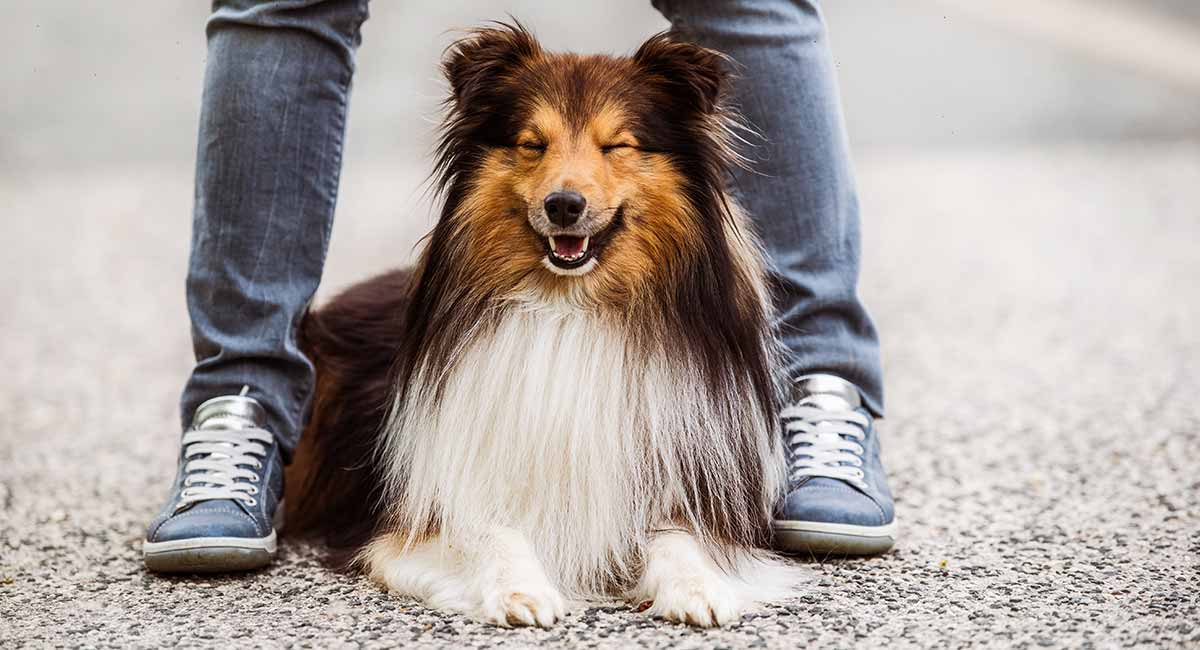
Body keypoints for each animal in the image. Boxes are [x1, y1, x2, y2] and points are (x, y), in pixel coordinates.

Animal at [284, 22, 801, 628]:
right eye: (533, 144)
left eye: (617, 145)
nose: (563, 205)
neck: (568, 308)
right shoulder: (424, 506)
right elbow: (486, 529)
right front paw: (519, 589)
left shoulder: (682, 479)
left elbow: (680, 537)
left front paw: (698, 587)